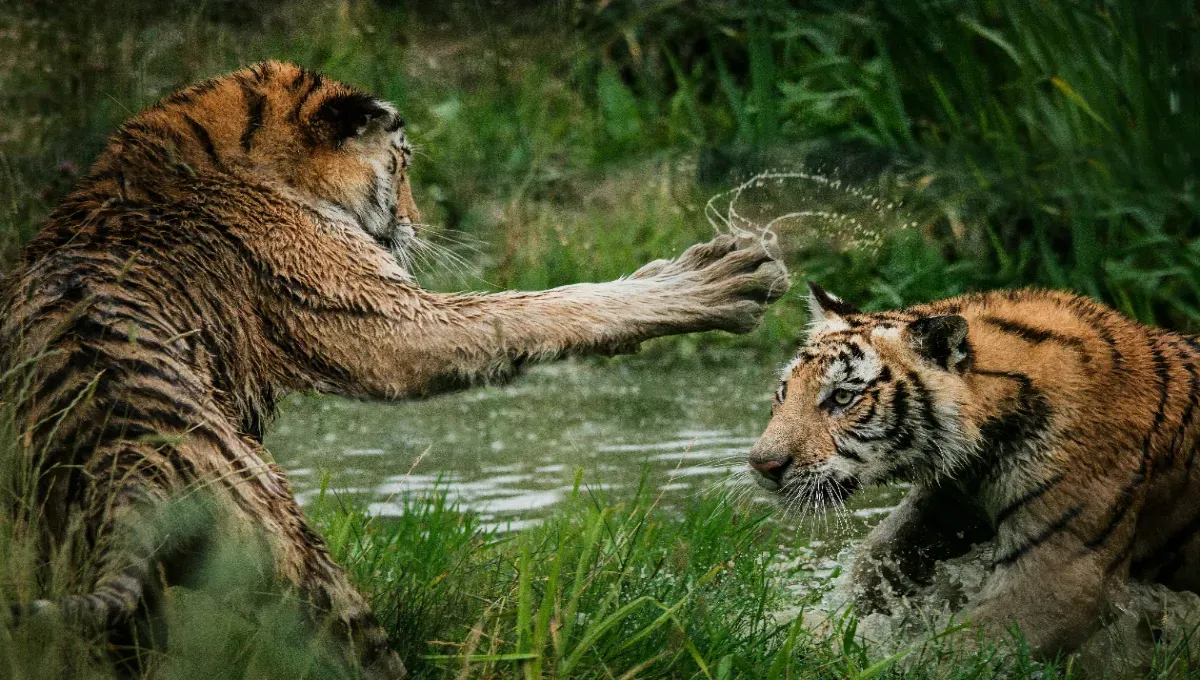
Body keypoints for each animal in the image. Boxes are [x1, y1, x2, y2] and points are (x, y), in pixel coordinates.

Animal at [0, 59, 787, 676]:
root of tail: (127, 462)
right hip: (301, 569)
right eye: (404, 163)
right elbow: (536, 309)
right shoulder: (385, 319)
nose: (416, 223)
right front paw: (714, 281)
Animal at [748, 283, 1200, 662]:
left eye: (842, 397)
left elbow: (955, 650)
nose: (761, 464)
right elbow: (876, 561)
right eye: (784, 393)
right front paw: (798, 628)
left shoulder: (1062, 575)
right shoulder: (947, 504)